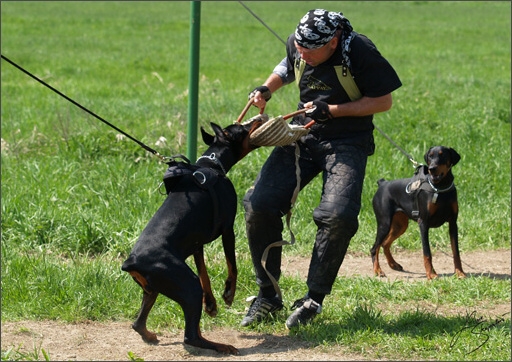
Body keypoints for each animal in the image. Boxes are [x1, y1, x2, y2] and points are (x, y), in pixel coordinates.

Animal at [122, 120, 262, 354]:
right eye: (243, 127)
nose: (259, 119)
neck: (213, 165)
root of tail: (131, 261)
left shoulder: (197, 245)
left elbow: (204, 272)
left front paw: (211, 304)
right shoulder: (228, 229)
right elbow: (232, 266)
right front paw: (229, 294)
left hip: (154, 289)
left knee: (138, 323)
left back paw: (150, 336)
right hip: (187, 285)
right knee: (190, 336)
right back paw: (222, 346)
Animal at [370, 146, 466, 280]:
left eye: (442, 155)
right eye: (430, 156)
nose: (432, 169)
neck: (439, 188)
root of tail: (383, 184)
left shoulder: (453, 223)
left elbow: (455, 251)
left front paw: (459, 272)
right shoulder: (423, 223)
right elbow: (427, 252)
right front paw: (431, 274)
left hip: (400, 225)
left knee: (385, 244)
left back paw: (393, 264)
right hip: (384, 224)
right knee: (374, 248)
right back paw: (378, 270)